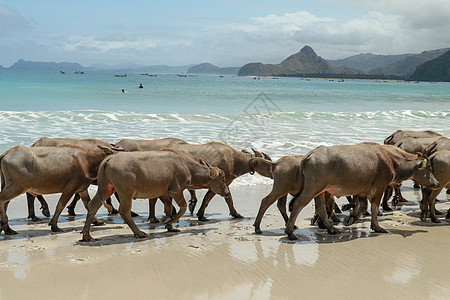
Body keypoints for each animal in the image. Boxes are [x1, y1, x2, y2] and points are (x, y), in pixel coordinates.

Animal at [79, 149, 230, 243]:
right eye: (223, 179)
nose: (227, 192)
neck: (187, 167)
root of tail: (109, 158)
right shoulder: (176, 191)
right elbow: (182, 208)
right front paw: (168, 221)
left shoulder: (165, 193)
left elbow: (169, 208)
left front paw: (170, 226)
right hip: (125, 192)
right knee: (124, 211)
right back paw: (139, 233)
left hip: (106, 188)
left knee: (93, 205)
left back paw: (87, 236)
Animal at [284, 142, 440, 240]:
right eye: (429, 168)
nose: (437, 183)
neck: (391, 160)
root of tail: (309, 155)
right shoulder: (379, 187)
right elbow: (374, 207)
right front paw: (377, 227)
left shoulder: (361, 191)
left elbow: (363, 206)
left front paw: (351, 218)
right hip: (312, 189)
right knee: (297, 204)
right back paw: (290, 233)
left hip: (320, 192)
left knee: (320, 209)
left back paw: (331, 229)